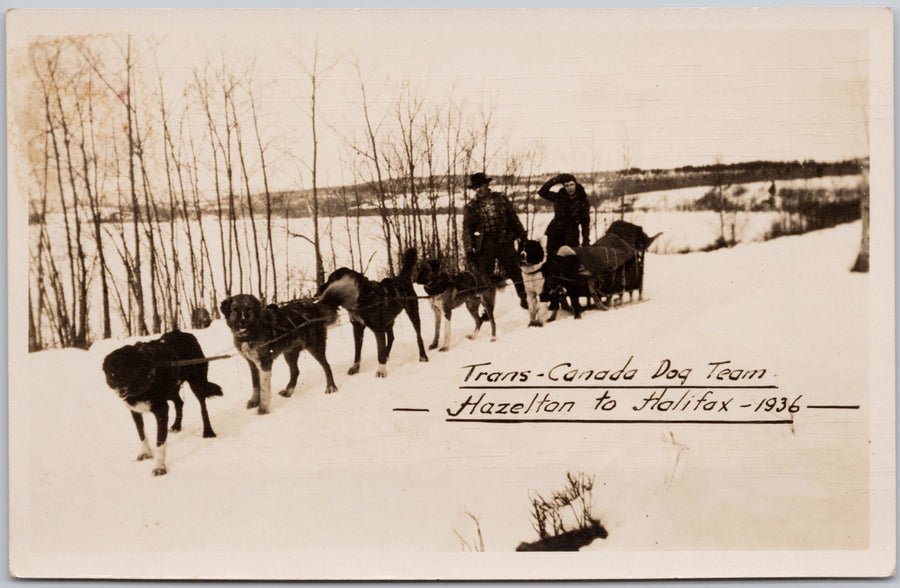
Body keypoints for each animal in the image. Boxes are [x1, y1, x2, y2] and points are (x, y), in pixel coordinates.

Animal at [103, 328, 223, 476]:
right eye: (112, 372)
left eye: (128, 369)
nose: (120, 387)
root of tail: (184, 333)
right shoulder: (135, 412)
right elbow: (141, 434)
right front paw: (146, 453)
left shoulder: (161, 411)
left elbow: (160, 442)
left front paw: (159, 467)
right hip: (172, 391)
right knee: (179, 403)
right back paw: (176, 426)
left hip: (197, 384)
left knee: (203, 408)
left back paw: (208, 432)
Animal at [316, 247, 428, 376]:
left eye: (330, 280)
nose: (317, 291)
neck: (361, 296)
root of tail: (400, 278)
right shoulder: (357, 327)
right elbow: (357, 352)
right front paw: (355, 367)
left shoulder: (377, 329)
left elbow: (379, 351)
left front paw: (381, 370)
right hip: (388, 320)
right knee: (391, 337)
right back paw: (387, 355)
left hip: (412, 313)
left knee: (418, 336)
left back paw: (423, 356)